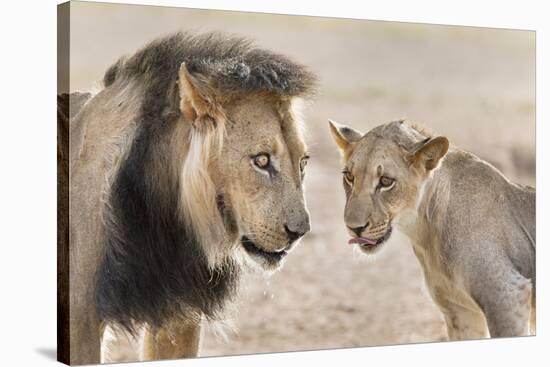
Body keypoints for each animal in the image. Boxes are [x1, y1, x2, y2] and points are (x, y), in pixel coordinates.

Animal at [330, 120, 536, 340]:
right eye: (349, 177)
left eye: (386, 182)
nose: (354, 228)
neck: (425, 233)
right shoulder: (460, 311)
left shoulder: (506, 295)